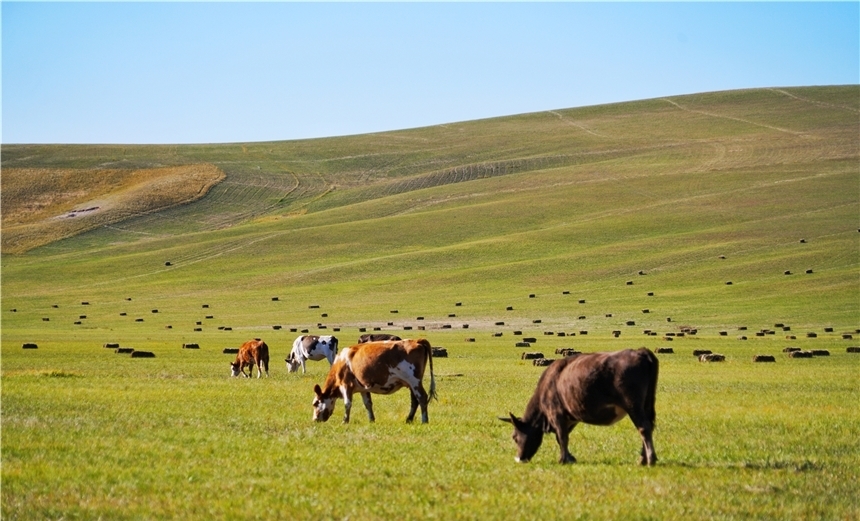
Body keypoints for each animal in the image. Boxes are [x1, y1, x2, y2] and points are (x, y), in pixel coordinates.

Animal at [498, 348, 660, 466]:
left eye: (514, 437)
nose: (519, 459)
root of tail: (641, 351)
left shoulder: (556, 414)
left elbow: (562, 437)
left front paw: (563, 460)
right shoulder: (570, 418)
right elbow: (562, 437)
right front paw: (570, 457)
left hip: (633, 405)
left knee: (644, 428)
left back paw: (648, 459)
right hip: (646, 405)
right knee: (649, 426)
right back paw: (644, 458)